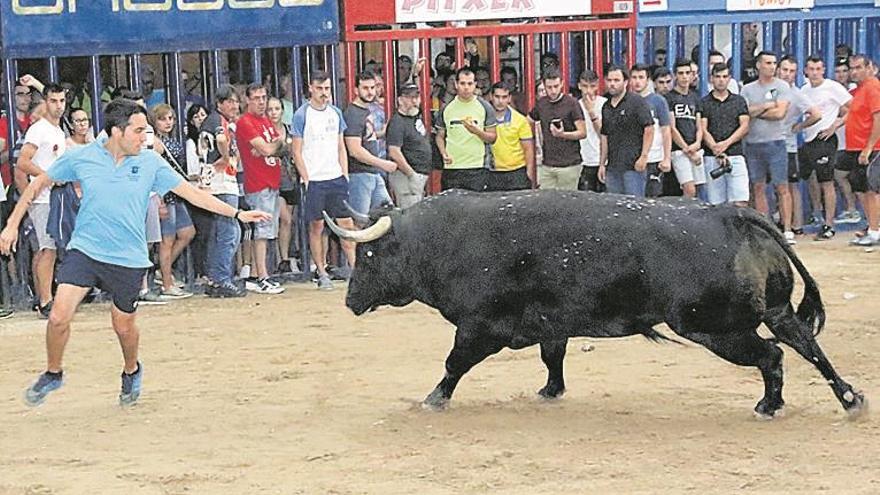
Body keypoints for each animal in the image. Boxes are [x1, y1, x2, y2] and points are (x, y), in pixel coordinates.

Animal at [324, 190, 868, 418]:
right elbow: (553, 357)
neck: (441, 239)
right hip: (772, 312)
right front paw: (551, 391)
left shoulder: (481, 327)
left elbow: (454, 364)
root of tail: (729, 215)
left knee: (772, 355)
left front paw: (433, 399)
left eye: (366, 253)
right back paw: (849, 398)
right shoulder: (552, 322)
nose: (349, 300)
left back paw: (769, 405)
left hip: (716, 329)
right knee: (805, 345)